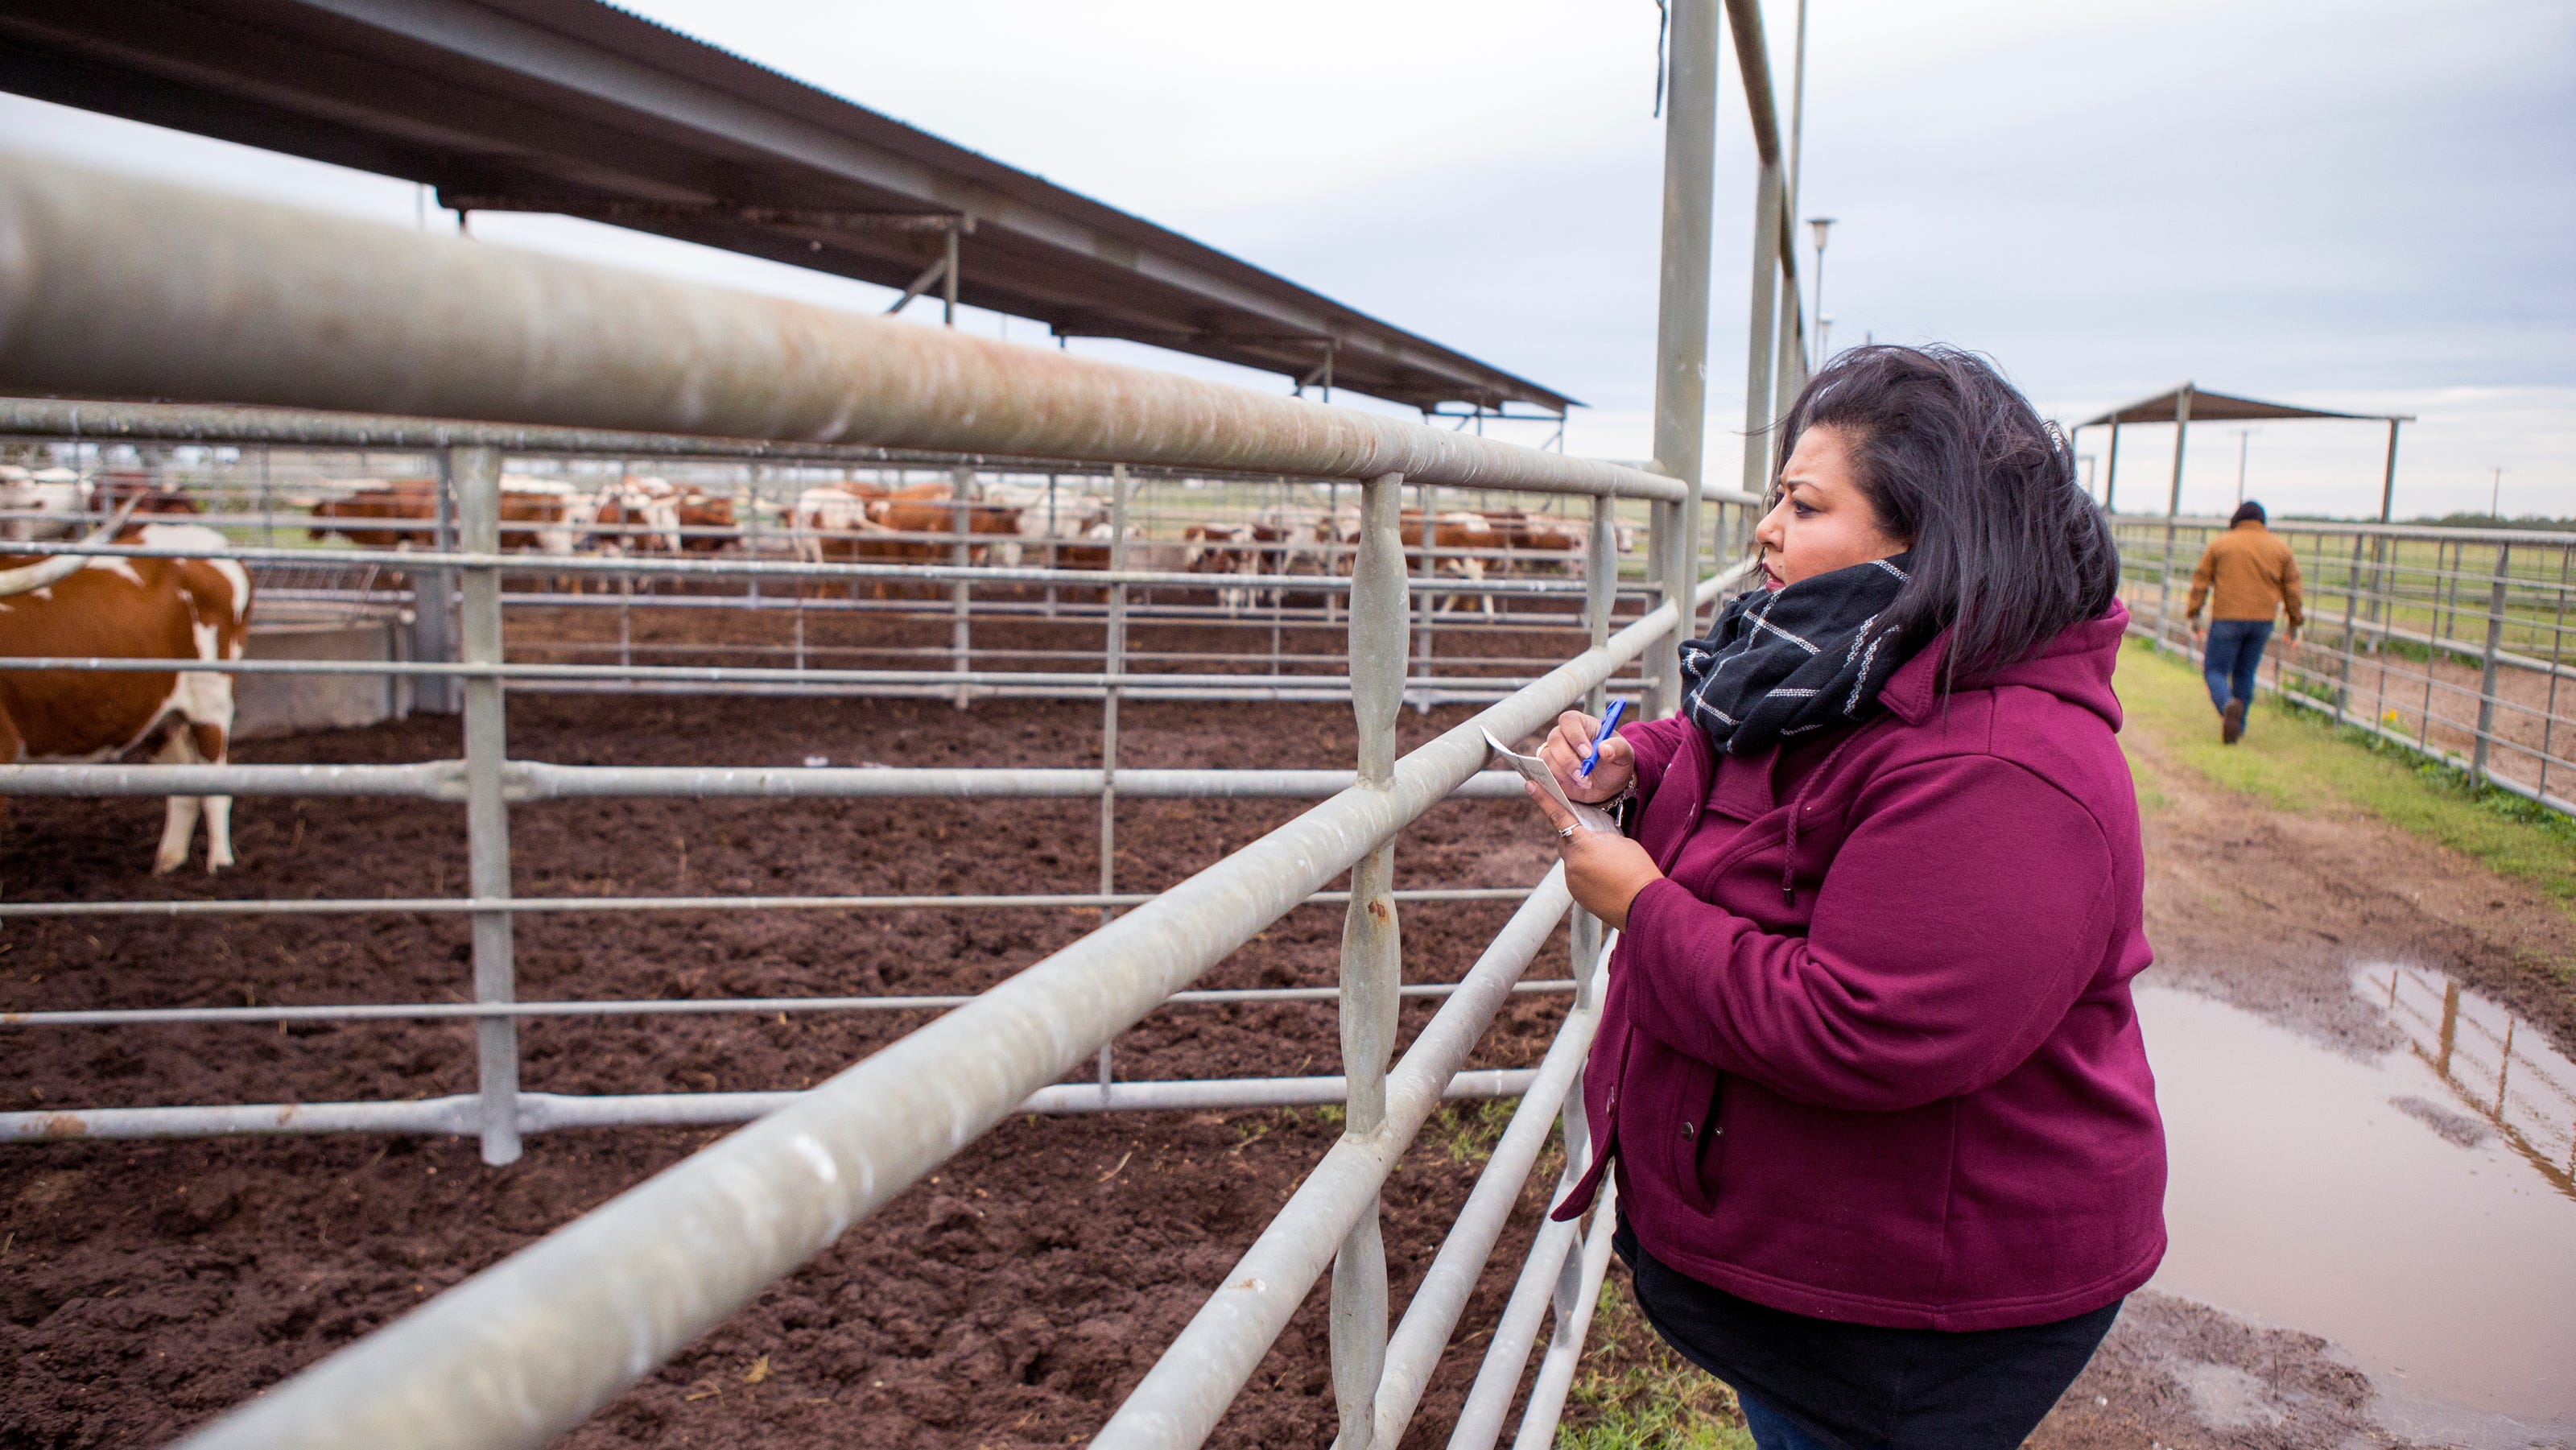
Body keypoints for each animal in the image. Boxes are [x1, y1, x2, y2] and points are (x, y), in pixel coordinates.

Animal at [0, 510, 254, 875]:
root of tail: (217, 544)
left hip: (212, 702)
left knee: (217, 786)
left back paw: (220, 865)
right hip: (161, 714)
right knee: (183, 783)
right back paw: (167, 865)